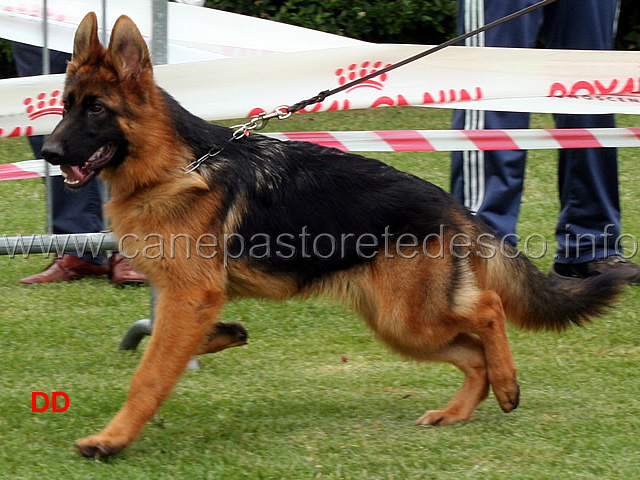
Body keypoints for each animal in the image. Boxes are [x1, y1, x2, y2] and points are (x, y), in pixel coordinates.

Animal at [43, 13, 624, 460]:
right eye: (66, 105)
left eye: (97, 109)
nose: (48, 153)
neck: (172, 166)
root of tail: (452, 204)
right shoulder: (180, 297)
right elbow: (167, 349)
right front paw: (225, 335)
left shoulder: (191, 295)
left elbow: (148, 375)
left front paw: (111, 440)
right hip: (398, 324)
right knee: (473, 352)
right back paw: (457, 411)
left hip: (408, 317)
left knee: (488, 309)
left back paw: (506, 384)